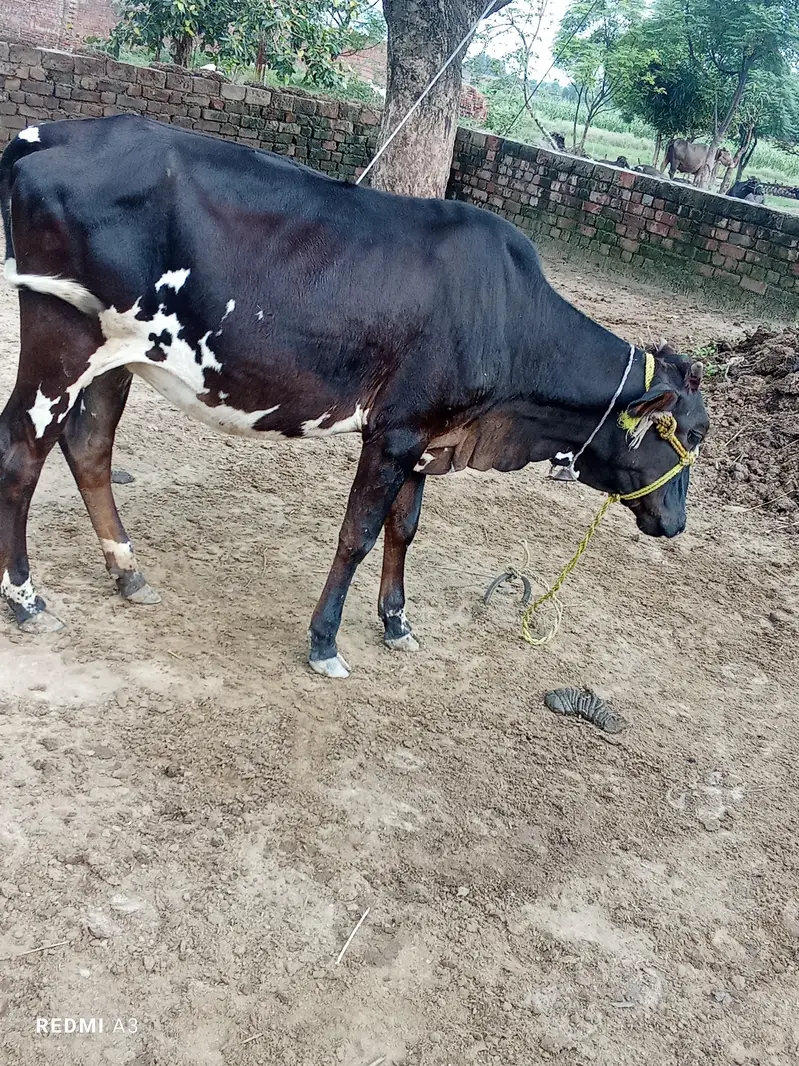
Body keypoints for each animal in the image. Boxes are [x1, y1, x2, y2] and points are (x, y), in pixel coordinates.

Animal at [0, 116, 709, 678]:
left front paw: (397, 622)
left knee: (89, 447)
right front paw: (325, 641)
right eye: (695, 434)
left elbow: (404, 528)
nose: (675, 524)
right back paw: (27, 599)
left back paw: (128, 574)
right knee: (22, 451)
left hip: (117, 355)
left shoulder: (426, 435)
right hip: (60, 337)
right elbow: (358, 534)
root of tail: (53, 133)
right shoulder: (394, 432)